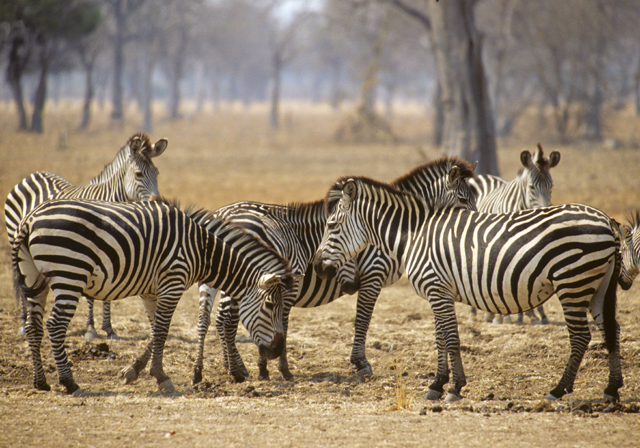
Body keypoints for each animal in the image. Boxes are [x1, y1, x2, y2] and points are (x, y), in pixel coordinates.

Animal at [5, 133, 165, 340]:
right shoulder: (91, 251)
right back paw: (23, 324)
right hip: (16, 241)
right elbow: (91, 296)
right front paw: (91, 328)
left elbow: (108, 294)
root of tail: (32, 175)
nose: (158, 202)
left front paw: (109, 328)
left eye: (157, 173)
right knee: (22, 283)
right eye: (139, 174)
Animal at [11, 198, 292, 394]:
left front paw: (135, 371)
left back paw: (41, 382)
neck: (201, 249)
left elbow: (156, 328)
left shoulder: (151, 290)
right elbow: (162, 331)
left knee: (34, 326)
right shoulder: (173, 282)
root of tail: (30, 219)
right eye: (270, 305)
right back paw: (69, 382)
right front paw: (161, 377)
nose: (277, 350)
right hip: (70, 274)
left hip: (35, 277)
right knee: (55, 326)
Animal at [192, 156, 478, 384]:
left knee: (215, 320)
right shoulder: (373, 274)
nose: (474, 228)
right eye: (464, 199)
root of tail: (222, 212)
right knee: (226, 320)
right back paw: (237, 371)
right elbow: (362, 319)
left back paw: (225, 368)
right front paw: (360, 364)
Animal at [312, 176, 624, 402]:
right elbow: (440, 338)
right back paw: (611, 390)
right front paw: (438, 385)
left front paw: (453, 388)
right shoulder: (439, 292)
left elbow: (450, 339)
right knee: (611, 330)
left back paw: (558, 390)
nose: (316, 267)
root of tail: (606, 220)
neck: (413, 237)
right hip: (597, 286)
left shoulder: (437, 289)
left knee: (581, 337)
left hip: (572, 281)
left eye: (332, 225)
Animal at [464, 144, 560, 326]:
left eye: (551, 186)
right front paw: (505, 317)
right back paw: (477, 314)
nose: (546, 212)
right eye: (531, 187)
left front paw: (538, 314)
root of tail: (483, 176)